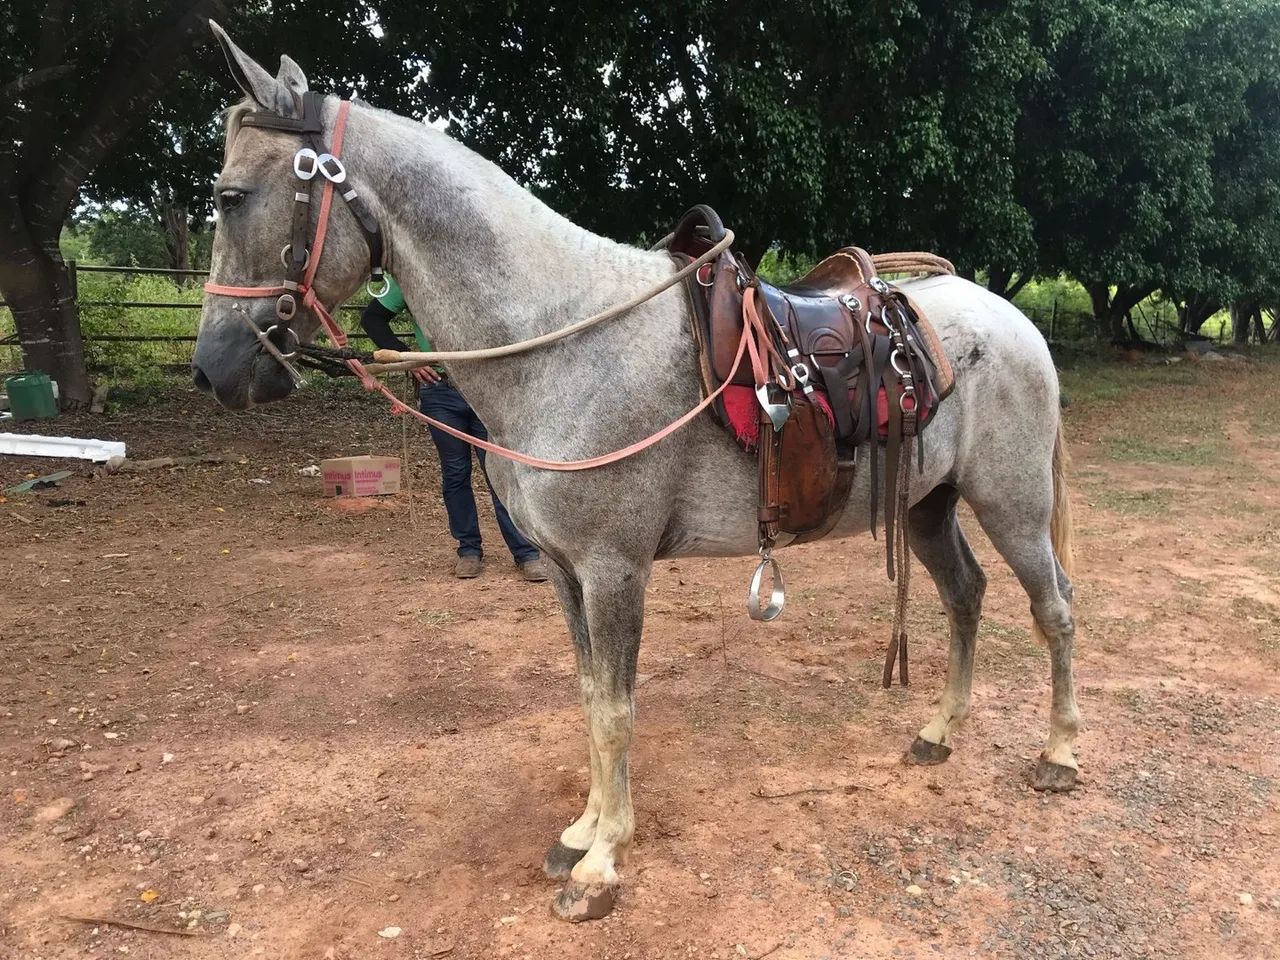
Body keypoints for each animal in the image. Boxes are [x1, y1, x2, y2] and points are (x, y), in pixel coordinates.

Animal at [192, 22, 1080, 921]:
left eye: (231, 196)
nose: (214, 368)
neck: (565, 339)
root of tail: (1012, 319)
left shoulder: (614, 568)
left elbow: (617, 709)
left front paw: (602, 863)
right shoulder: (563, 570)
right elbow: (590, 699)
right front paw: (583, 830)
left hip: (1012, 505)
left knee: (1054, 608)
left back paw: (1059, 754)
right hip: (930, 506)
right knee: (965, 595)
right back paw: (940, 732)